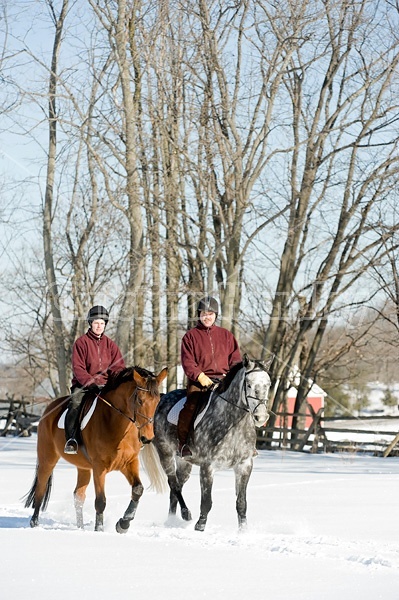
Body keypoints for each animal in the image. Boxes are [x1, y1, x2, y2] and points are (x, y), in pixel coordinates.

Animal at [23, 364, 167, 532]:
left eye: (157, 401)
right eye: (139, 400)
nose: (147, 438)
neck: (116, 423)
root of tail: (49, 408)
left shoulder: (129, 463)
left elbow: (138, 489)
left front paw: (123, 524)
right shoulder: (99, 467)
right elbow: (100, 501)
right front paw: (99, 530)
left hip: (83, 467)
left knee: (78, 495)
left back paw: (80, 528)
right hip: (48, 459)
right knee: (40, 488)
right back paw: (34, 523)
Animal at [153, 354, 272, 532]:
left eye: (268, 384)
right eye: (249, 384)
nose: (261, 417)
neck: (233, 425)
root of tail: (163, 397)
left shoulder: (244, 465)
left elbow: (241, 502)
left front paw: (243, 531)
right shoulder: (208, 466)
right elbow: (206, 502)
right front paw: (200, 527)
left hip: (183, 461)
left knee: (176, 487)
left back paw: (171, 521)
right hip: (165, 452)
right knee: (173, 483)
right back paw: (185, 514)